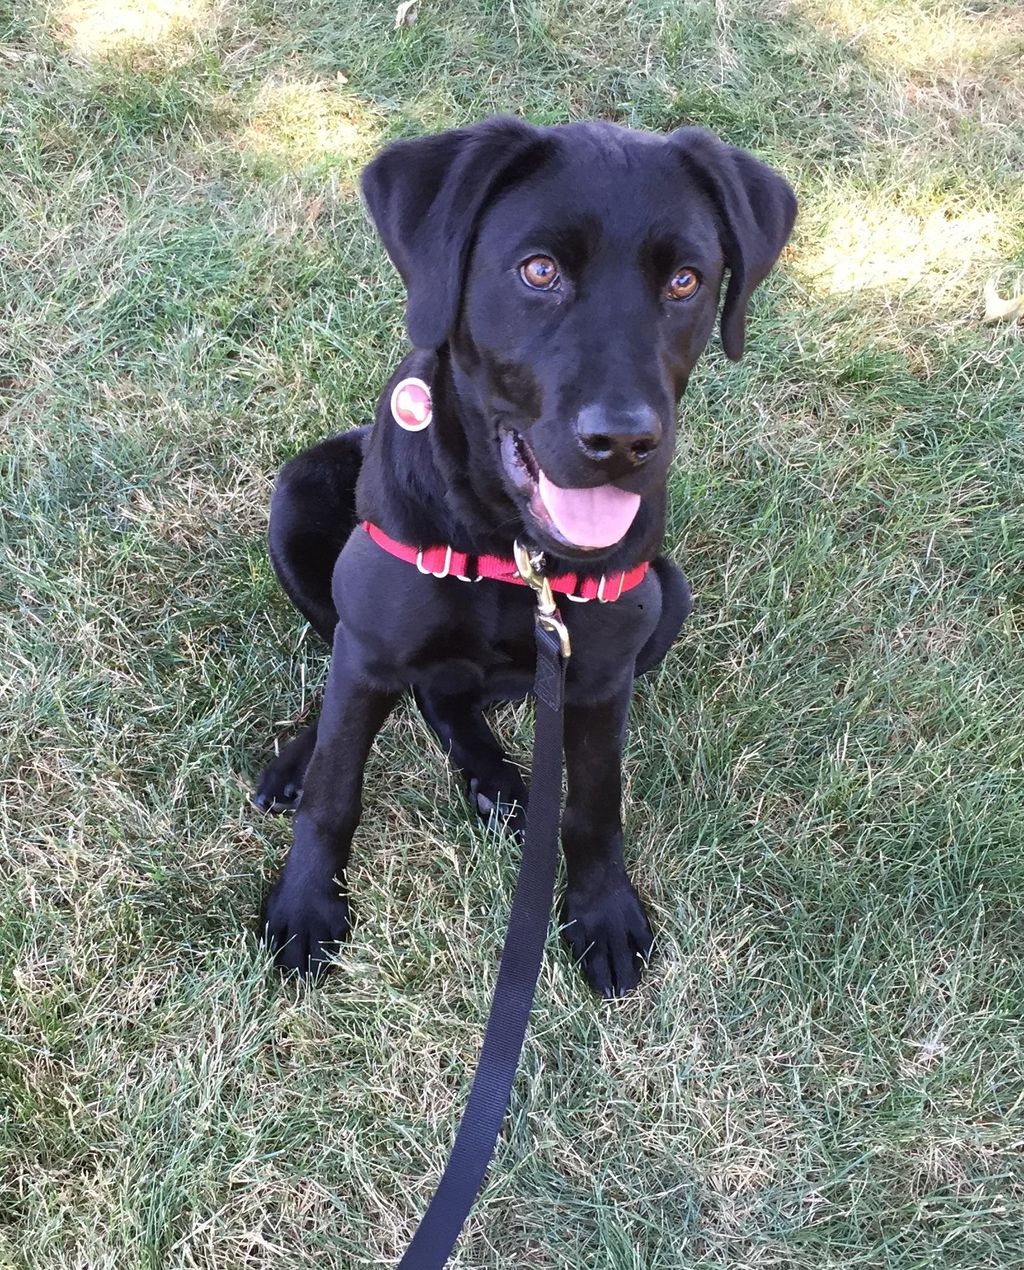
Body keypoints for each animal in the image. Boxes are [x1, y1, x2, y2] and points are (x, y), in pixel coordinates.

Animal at [254, 116, 792, 1000]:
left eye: (686, 280)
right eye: (539, 271)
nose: (622, 442)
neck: (514, 549)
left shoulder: (601, 675)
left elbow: (594, 805)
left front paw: (602, 911)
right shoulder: (369, 646)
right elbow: (336, 789)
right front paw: (305, 906)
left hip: (666, 597)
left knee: (445, 695)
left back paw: (495, 776)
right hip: (299, 499)